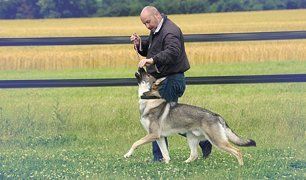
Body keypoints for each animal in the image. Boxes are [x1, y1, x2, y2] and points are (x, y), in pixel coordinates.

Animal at [123, 68, 255, 165]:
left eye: (148, 74)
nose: (141, 67)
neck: (149, 99)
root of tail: (217, 115)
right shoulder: (159, 137)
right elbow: (165, 154)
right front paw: (167, 166)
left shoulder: (153, 134)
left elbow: (135, 143)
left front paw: (127, 154)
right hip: (191, 137)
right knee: (194, 155)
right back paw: (185, 163)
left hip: (217, 141)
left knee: (237, 151)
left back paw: (240, 166)